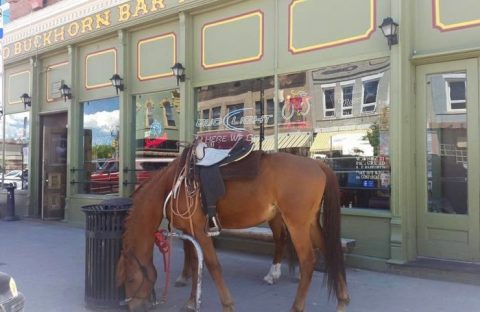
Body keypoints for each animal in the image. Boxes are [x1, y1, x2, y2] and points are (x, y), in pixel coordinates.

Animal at [116, 151, 348, 312]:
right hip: (309, 223)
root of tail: (317, 163)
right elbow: (195, 265)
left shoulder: (200, 231)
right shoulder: (190, 233)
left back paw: (296, 306)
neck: (173, 186)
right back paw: (343, 299)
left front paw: (227, 304)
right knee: (329, 250)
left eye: (130, 280)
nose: (131, 307)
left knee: (308, 261)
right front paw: (191, 301)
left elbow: (211, 265)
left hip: (296, 224)